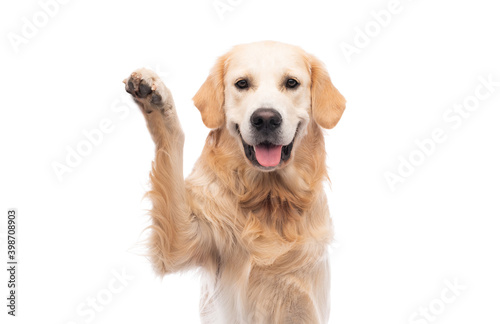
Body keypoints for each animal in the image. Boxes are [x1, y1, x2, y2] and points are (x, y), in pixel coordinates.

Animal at [123, 41, 346, 324]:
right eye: (242, 84)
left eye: (291, 83)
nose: (265, 118)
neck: (269, 197)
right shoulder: (182, 242)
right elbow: (173, 141)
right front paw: (155, 97)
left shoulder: (304, 304)